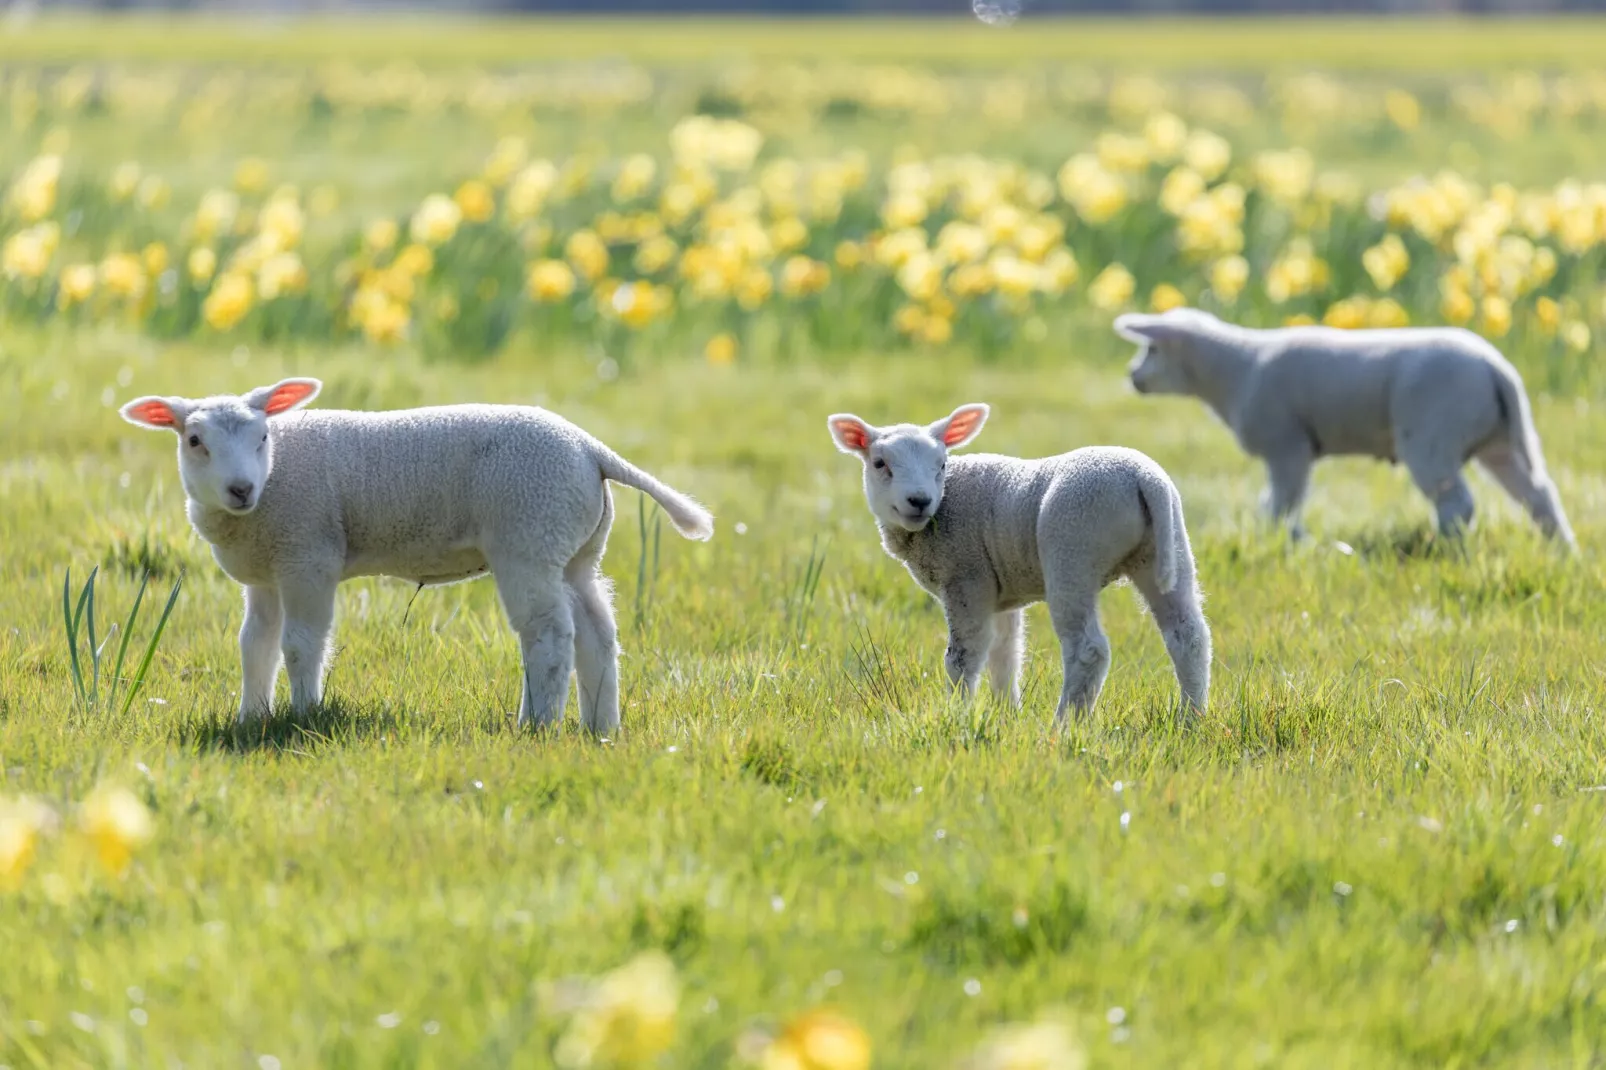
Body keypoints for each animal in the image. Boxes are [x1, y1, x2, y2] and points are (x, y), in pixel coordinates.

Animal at [128, 377, 719, 732]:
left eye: (263, 436)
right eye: (195, 441)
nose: (241, 490)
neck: (273, 485)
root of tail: (591, 450)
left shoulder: (308, 553)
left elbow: (299, 645)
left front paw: (304, 714)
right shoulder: (267, 570)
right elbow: (255, 646)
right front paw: (252, 718)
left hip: (529, 534)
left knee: (549, 636)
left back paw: (538, 725)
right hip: (573, 547)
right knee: (597, 632)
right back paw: (599, 728)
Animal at [828, 404, 1207, 719]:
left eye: (942, 464)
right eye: (880, 464)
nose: (919, 501)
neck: (944, 505)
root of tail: (1144, 480)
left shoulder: (967, 578)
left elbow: (963, 657)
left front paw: (957, 715)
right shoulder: (1000, 593)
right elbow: (1005, 655)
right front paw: (1006, 714)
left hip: (1072, 550)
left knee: (1088, 650)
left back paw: (1064, 726)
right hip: (1167, 547)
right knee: (1188, 637)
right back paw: (1191, 719)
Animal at [1111, 306, 1573, 543]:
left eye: (1151, 349)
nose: (1132, 376)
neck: (1234, 369)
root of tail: (1498, 370)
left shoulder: (1288, 447)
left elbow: (1281, 501)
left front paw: (1277, 540)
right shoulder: (1291, 451)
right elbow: (1279, 501)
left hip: (1432, 437)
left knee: (1458, 502)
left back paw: (1448, 548)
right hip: (1499, 442)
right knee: (1539, 494)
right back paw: (1561, 550)